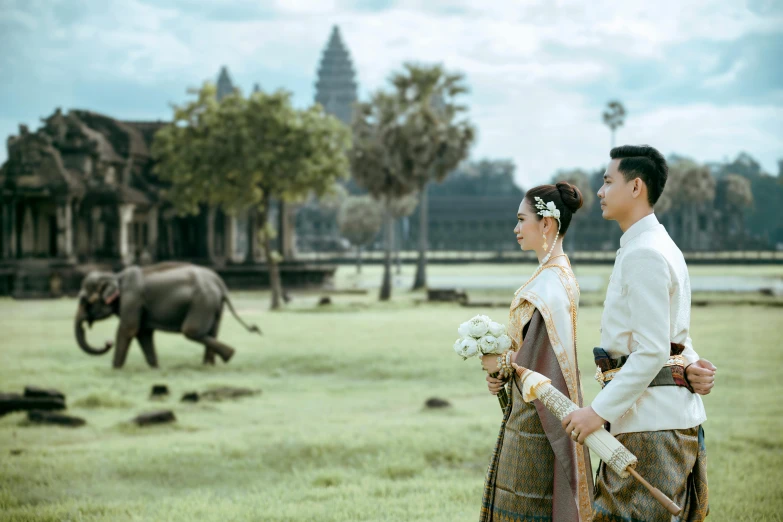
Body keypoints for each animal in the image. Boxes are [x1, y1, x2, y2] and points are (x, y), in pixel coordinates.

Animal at [75, 262, 262, 368]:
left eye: (84, 300)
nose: (107, 343)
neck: (115, 275)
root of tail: (221, 284)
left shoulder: (132, 299)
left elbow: (129, 329)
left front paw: (115, 369)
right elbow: (143, 333)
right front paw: (155, 367)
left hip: (202, 302)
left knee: (191, 331)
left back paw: (228, 355)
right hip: (213, 305)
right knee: (211, 332)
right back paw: (211, 364)